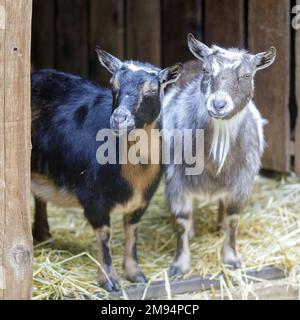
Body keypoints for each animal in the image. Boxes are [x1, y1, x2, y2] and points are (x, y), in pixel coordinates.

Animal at [164, 34, 276, 276]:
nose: (218, 104)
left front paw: (232, 259)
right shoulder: (176, 181)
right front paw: (179, 265)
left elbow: (233, 219)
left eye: (247, 75)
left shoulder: (241, 183)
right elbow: (181, 221)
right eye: (207, 70)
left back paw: (219, 226)